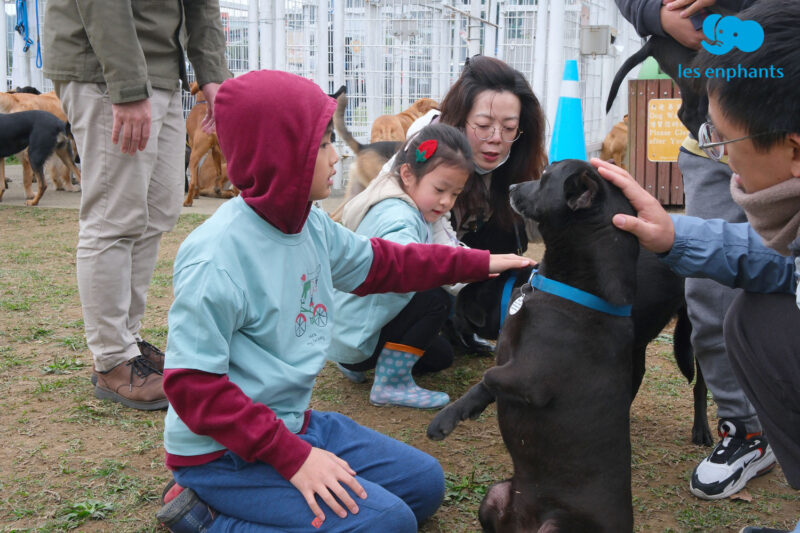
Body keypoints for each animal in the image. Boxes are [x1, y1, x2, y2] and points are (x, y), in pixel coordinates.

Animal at [428, 160, 648, 528]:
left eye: (545, 177)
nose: (512, 187)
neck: (577, 290)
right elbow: (483, 385)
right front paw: (451, 416)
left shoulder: (530, 379)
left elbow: (489, 376)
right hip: (494, 496)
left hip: (559, 525)